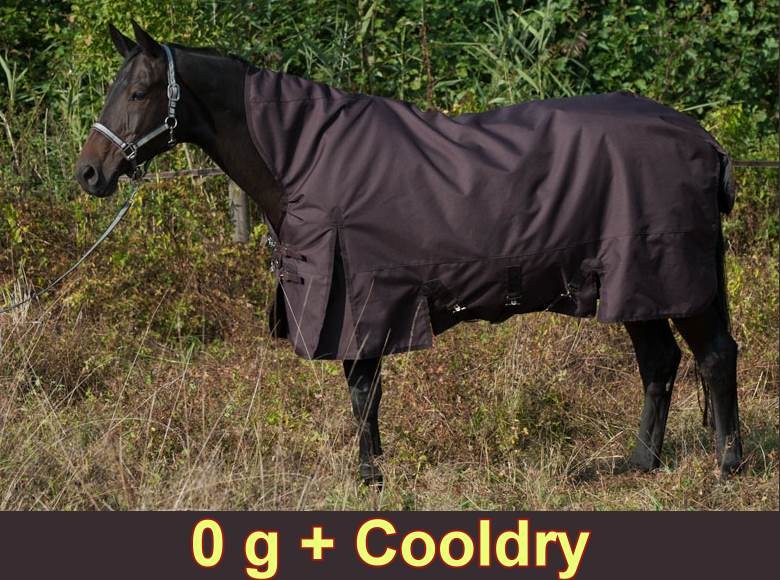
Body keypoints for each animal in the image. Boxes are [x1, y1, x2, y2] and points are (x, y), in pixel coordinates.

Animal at [76, 21, 743, 486]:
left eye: (139, 91)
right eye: (114, 89)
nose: (89, 173)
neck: (302, 158)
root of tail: (704, 140)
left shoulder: (361, 300)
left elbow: (362, 391)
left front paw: (370, 476)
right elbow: (362, 391)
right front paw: (373, 470)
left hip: (670, 276)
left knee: (713, 355)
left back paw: (727, 465)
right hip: (634, 284)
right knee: (659, 362)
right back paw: (639, 462)